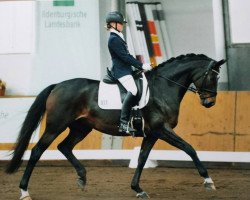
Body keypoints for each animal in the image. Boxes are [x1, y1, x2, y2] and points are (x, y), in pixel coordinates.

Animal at [5, 53, 226, 198]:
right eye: (212, 76)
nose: (210, 102)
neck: (163, 88)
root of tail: (57, 85)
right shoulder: (161, 129)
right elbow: (189, 148)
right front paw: (209, 181)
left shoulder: (152, 134)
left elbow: (142, 159)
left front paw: (138, 189)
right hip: (55, 126)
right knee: (37, 151)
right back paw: (24, 191)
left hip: (81, 127)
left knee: (64, 146)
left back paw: (82, 178)